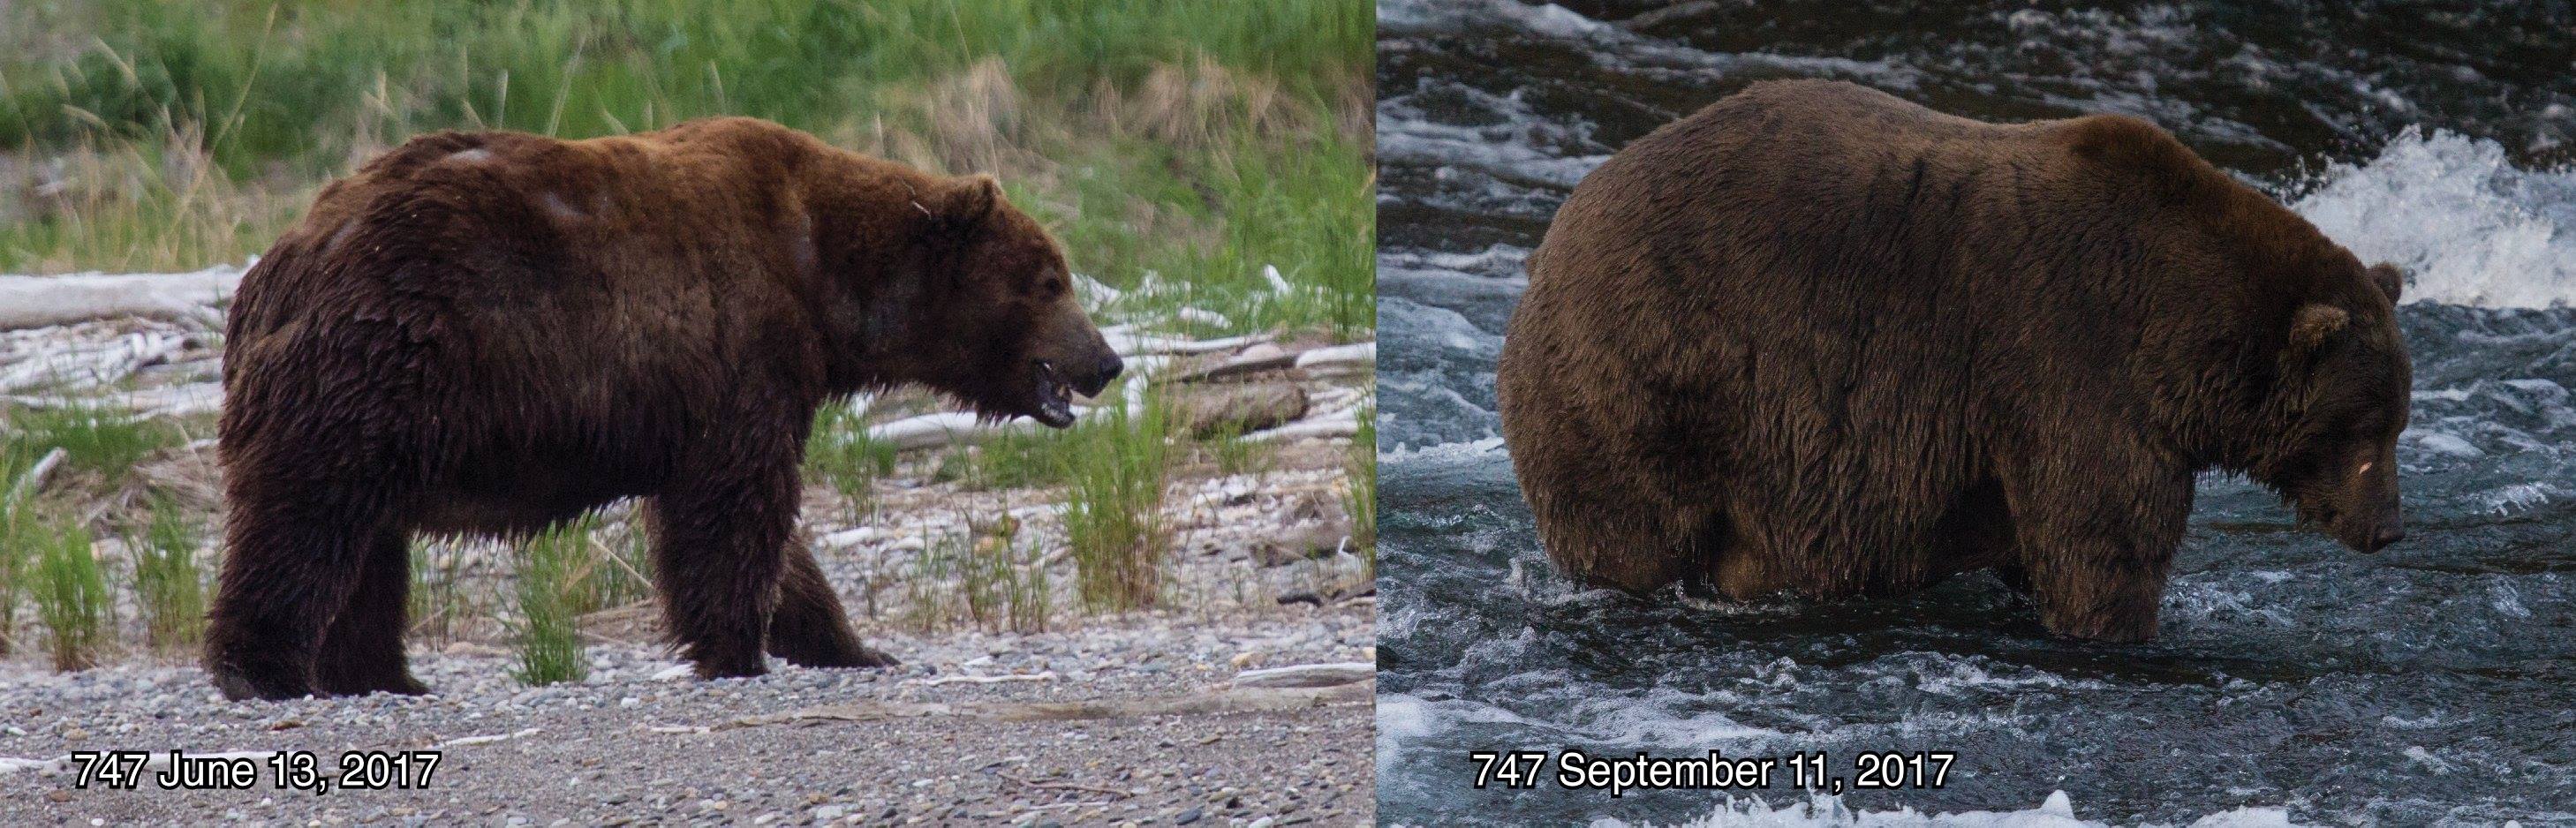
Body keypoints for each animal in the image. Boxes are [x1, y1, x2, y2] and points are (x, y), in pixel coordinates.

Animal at [205, 117, 1123, 700]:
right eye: (1050, 281)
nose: (1107, 362)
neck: (824, 274)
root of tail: (279, 263)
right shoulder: (741, 342)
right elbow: (736, 509)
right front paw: (737, 650)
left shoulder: (729, 387)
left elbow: (764, 530)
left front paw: (852, 646)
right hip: (388, 355)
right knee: (308, 516)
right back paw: (262, 668)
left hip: (381, 397)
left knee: (365, 539)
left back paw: (385, 675)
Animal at [1495, 80, 2410, 642]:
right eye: (2364, 429)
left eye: (2397, 422)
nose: (2389, 529)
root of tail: (1553, 236)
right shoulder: (2073, 361)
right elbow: (2102, 538)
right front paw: (2125, 625)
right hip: (1646, 376)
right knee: (1633, 531)